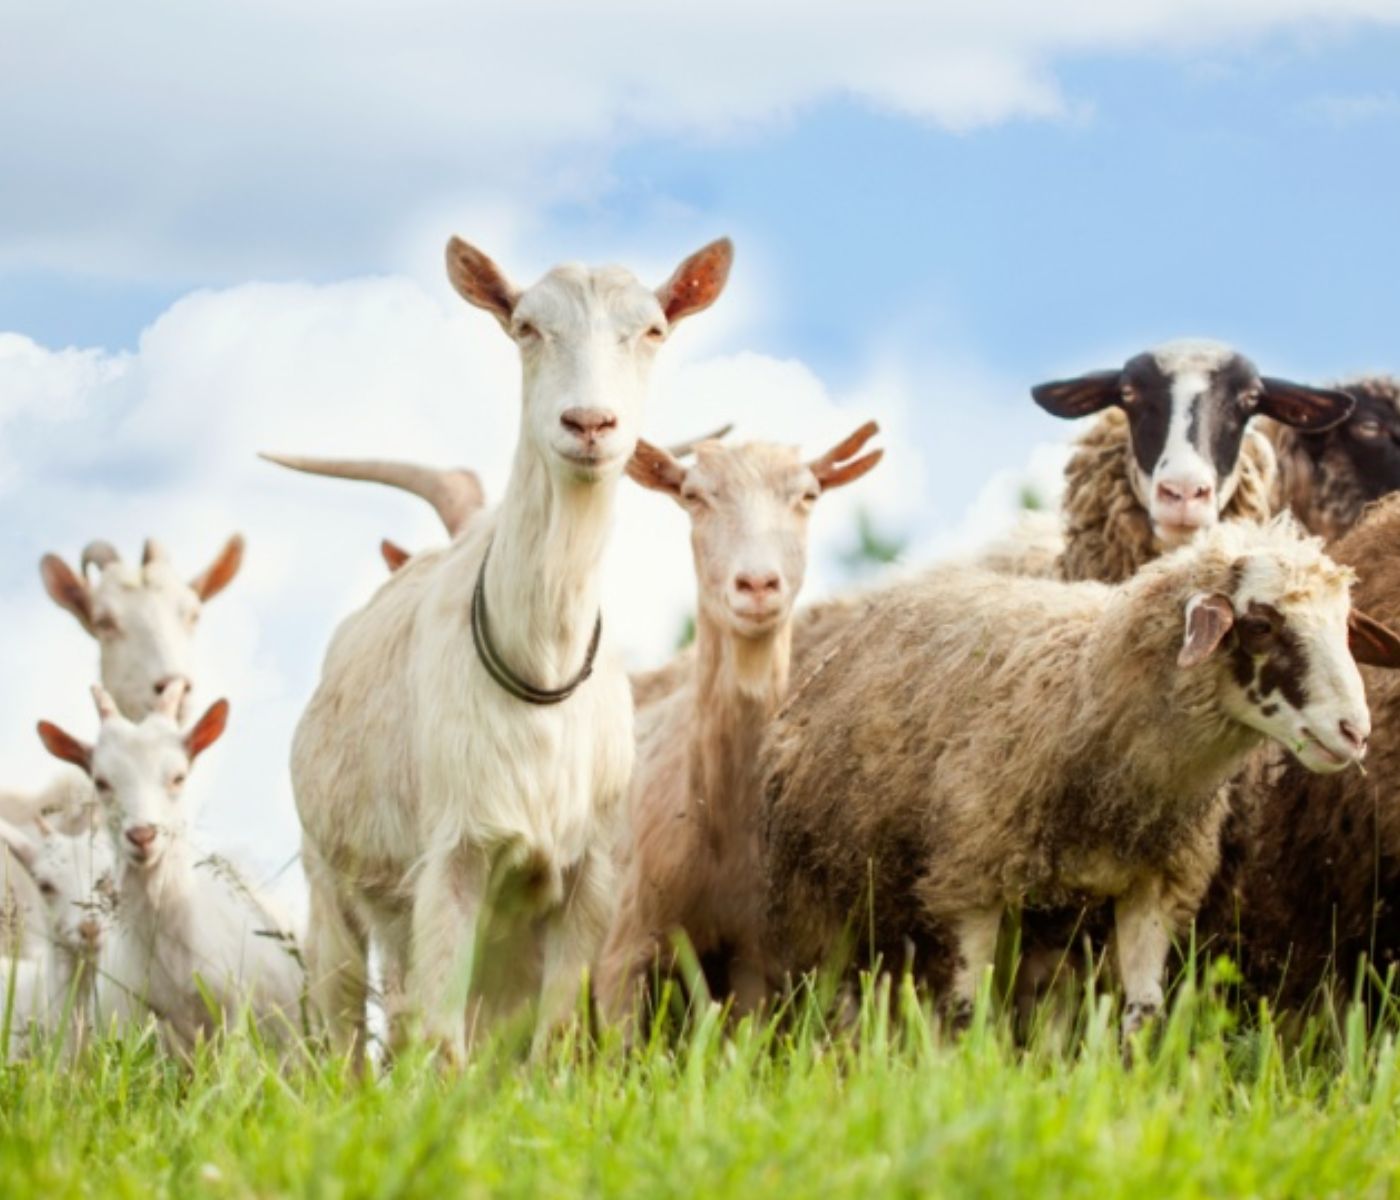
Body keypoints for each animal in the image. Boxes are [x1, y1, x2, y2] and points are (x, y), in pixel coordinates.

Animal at [277, 236, 733, 1063]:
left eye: (653, 330)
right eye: (526, 326)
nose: (589, 423)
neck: (541, 665)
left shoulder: (589, 875)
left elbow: (553, 1036)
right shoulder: (451, 859)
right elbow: (441, 1040)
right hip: (334, 882)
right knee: (344, 1021)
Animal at [761, 517, 1395, 1034]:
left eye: (1344, 626)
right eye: (1261, 624)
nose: (1355, 732)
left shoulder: (1152, 886)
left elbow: (1142, 1016)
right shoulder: (968, 882)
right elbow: (966, 1012)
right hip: (825, 897)